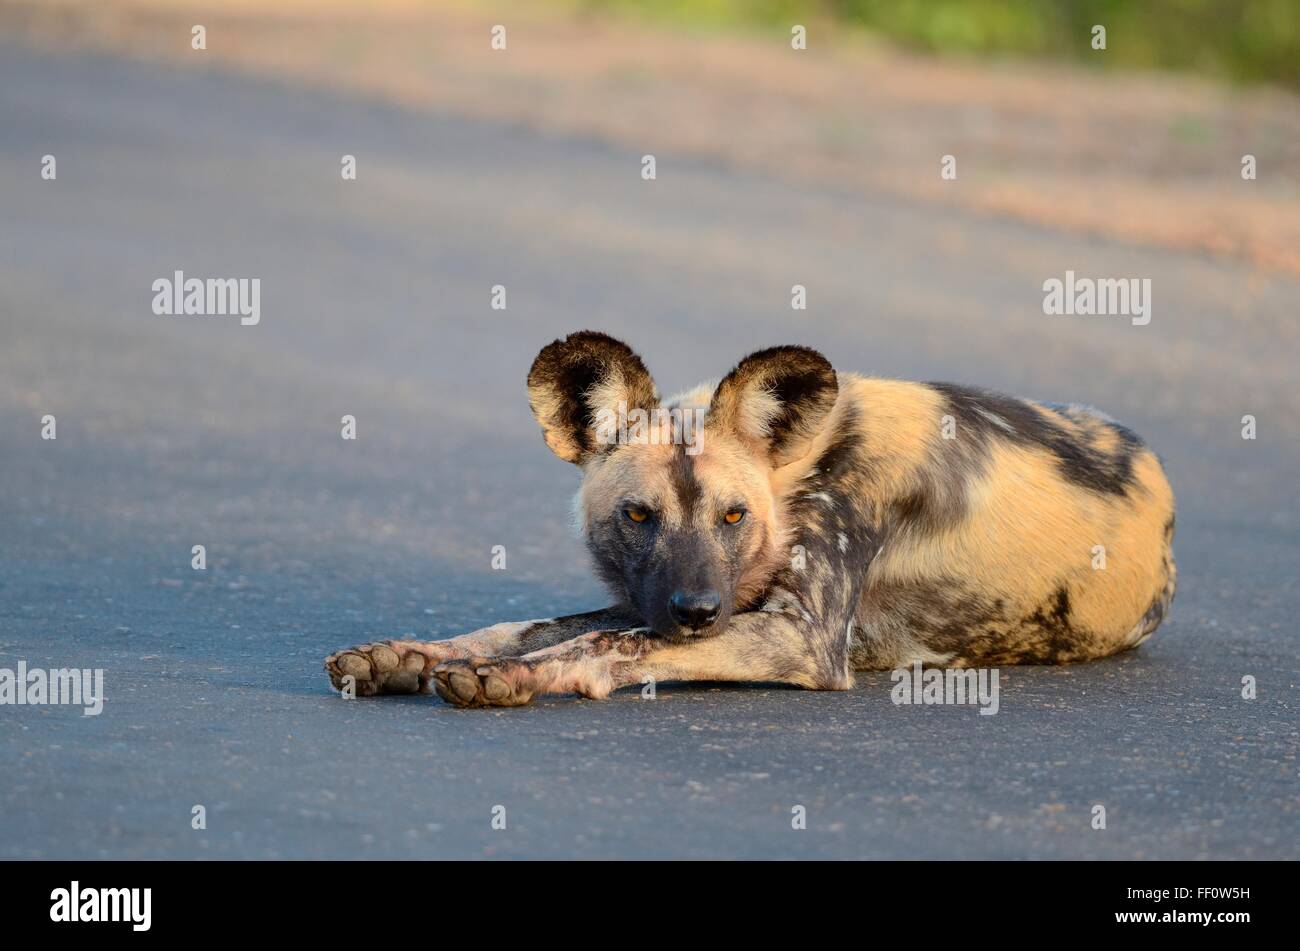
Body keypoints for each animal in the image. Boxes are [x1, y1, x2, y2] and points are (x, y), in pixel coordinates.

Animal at [325, 332, 1180, 706]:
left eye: (734, 514)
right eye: (639, 514)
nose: (700, 611)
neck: (804, 470)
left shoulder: (799, 635)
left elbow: (607, 642)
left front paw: (513, 677)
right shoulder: (669, 596)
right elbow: (528, 625)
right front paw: (404, 655)